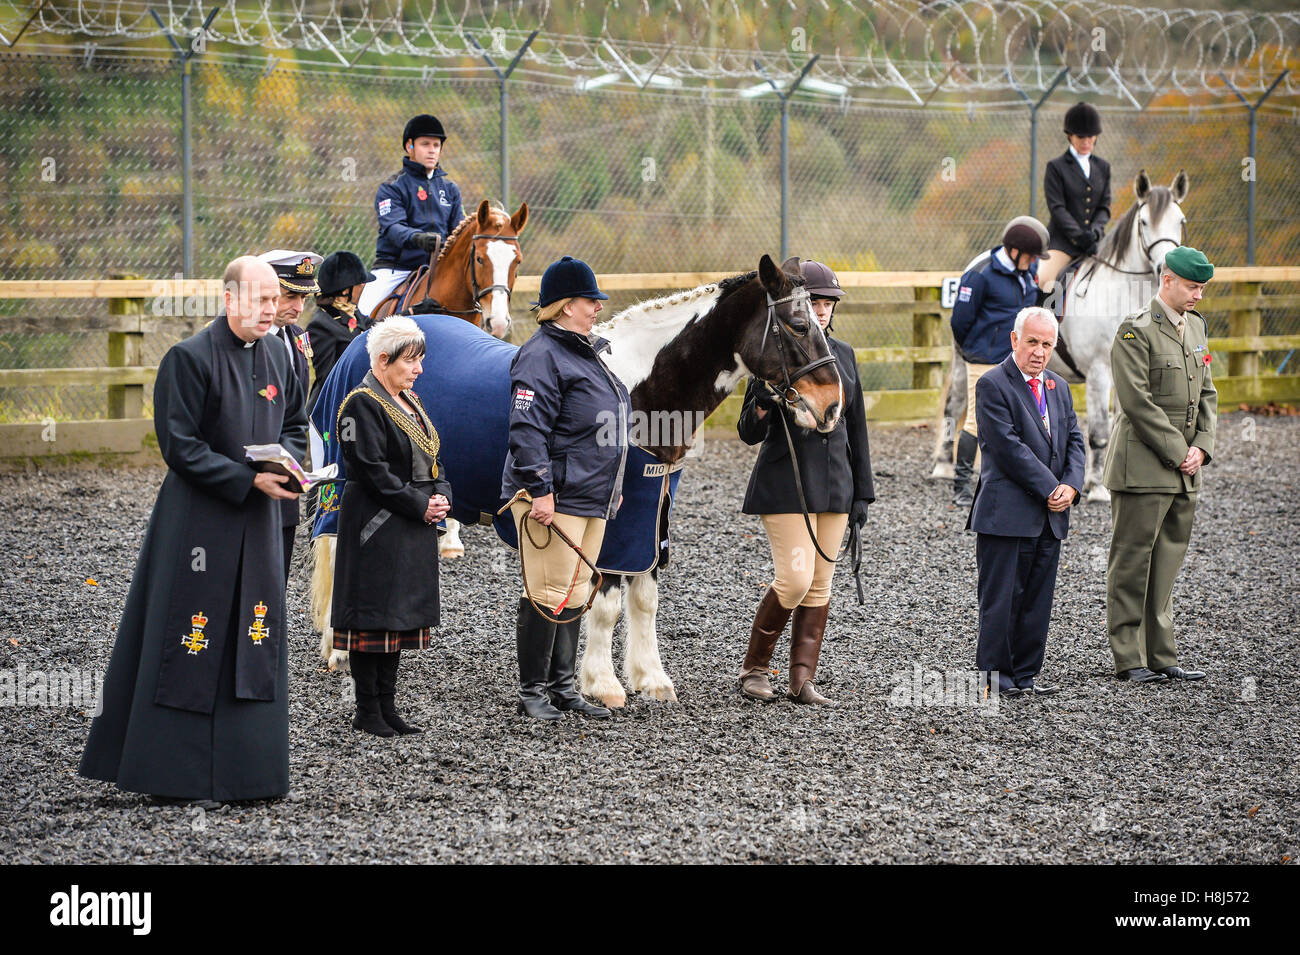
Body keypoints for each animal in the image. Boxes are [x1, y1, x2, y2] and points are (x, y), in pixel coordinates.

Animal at [930, 167, 1190, 504]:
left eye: (1180, 220)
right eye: (1144, 222)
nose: (1164, 269)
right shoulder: (1099, 372)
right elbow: (1100, 433)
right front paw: (1097, 489)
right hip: (964, 360)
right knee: (956, 404)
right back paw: (944, 468)